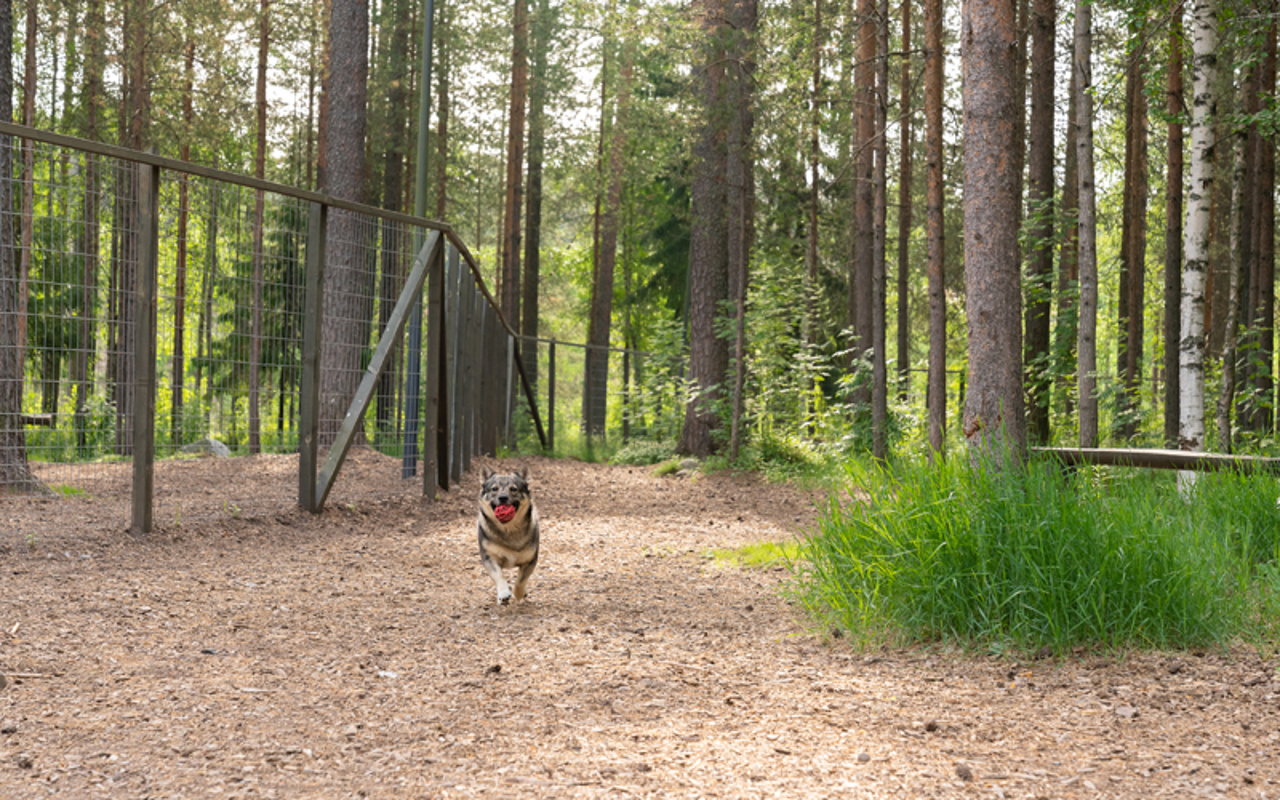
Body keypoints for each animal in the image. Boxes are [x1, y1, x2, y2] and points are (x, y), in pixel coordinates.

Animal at [481, 465, 540, 601]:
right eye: (494, 489)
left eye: (513, 489)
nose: (503, 497)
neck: (509, 529)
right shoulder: (489, 557)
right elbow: (499, 575)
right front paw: (503, 594)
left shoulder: (530, 560)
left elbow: (521, 580)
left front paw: (518, 594)